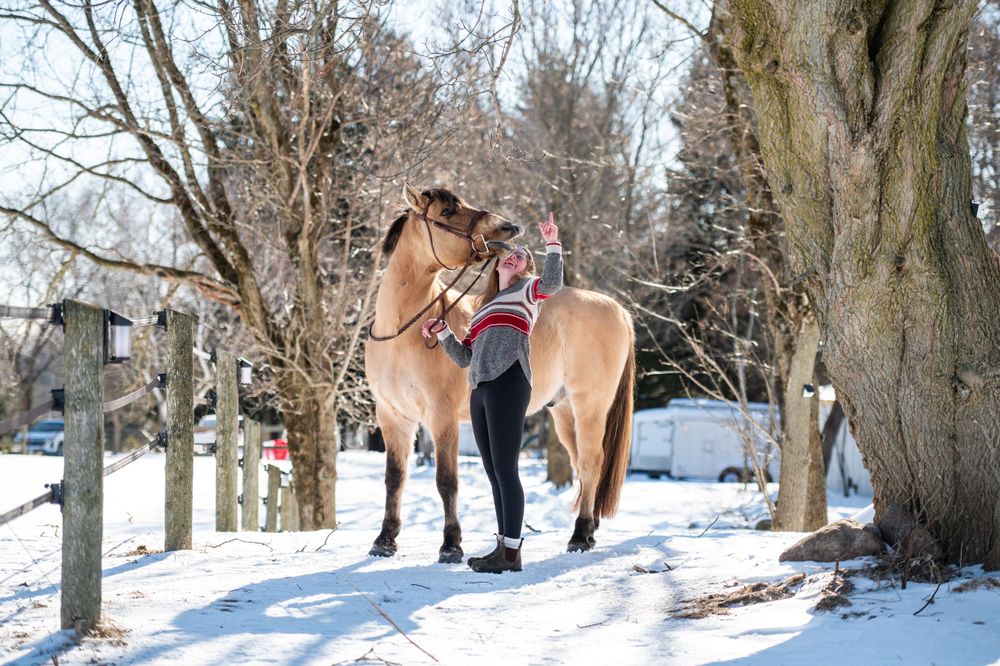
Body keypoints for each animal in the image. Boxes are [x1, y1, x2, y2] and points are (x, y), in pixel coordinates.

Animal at [364, 184, 635, 563]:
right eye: (446, 212)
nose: (509, 227)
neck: (401, 332)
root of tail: (619, 310)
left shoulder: (441, 416)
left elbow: (446, 480)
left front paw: (451, 545)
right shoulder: (392, 417)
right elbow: (394, 478)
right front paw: (385, 540)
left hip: (590, 406)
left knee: (592, 462)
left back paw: (580, 536)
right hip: (564, 411)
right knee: (582, 467)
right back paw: (590, 530)